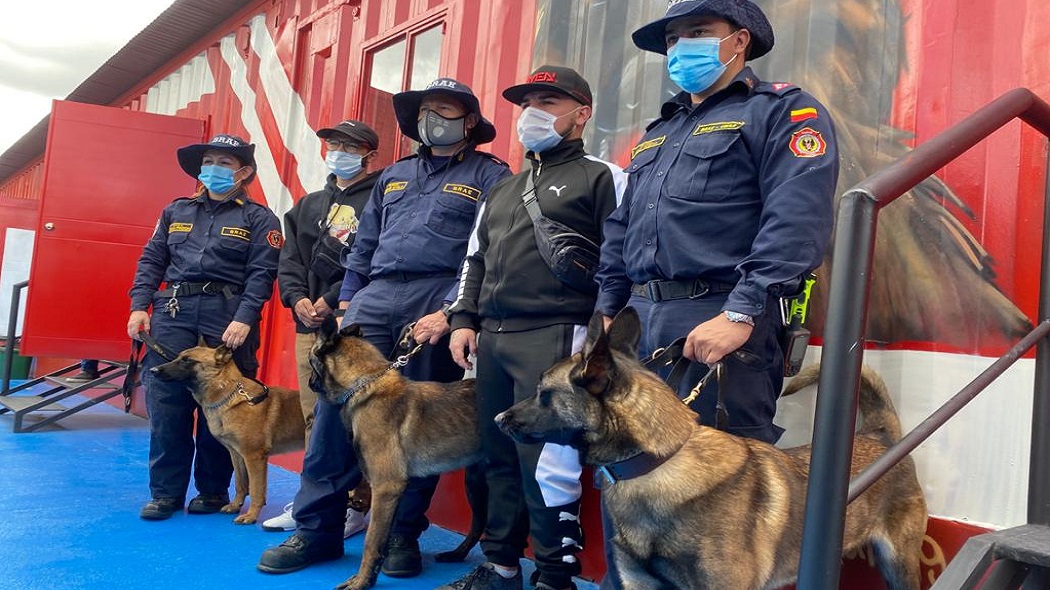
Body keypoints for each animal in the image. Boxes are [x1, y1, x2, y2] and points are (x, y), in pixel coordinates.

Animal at [152, 344, 306, 522]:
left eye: (187, 360)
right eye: (178, 357)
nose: (153, 370)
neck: (228, 394)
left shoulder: (254, 457)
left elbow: (256, 490)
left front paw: (251, 516)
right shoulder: (237, 454)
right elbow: (241, 484)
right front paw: (235, 506)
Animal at [306, 319, 480, 587]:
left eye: (310, 358)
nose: (308, 382)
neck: (364, 383)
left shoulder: (386, 487)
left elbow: (371, 542)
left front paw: (361, 582)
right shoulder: (391, 494)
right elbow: (381, 540)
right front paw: (368, 577)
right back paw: (457, 554)